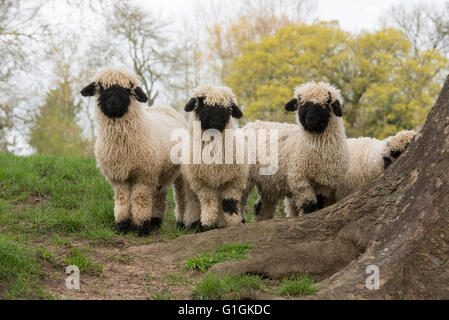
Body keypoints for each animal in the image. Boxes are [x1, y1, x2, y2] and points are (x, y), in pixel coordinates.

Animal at [79, 69, 186, 236]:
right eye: (101, 87)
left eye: (128, 89)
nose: (113, 102)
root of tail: (167, 108)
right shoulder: (118, 177)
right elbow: (122, 200)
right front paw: (122, 225)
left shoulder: (144, 175)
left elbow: (139, 200)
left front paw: (141, 227)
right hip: (161, 172)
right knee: (160, 195)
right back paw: (155, 222)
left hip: (179, 173)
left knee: (181, 197)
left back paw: (180, 223)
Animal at [180, 85, 247, 230]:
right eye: (201, 102)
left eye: (228, 107)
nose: (215, 119)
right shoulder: (202, 183)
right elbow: (209, 203)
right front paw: (208, 224)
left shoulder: (234, 180)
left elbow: (229, 202)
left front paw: (234, 223)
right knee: (193, 202)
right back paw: (192, 223)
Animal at [242, 82, 350, 221]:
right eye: (301, 105)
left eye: (325, 105)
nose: (310, 120)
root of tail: (250, 124)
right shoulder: (299, 180)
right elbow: (309, 207)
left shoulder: (325, 184)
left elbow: (319, 207)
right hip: (245, 176)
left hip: (268, 183)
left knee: (263, 208)